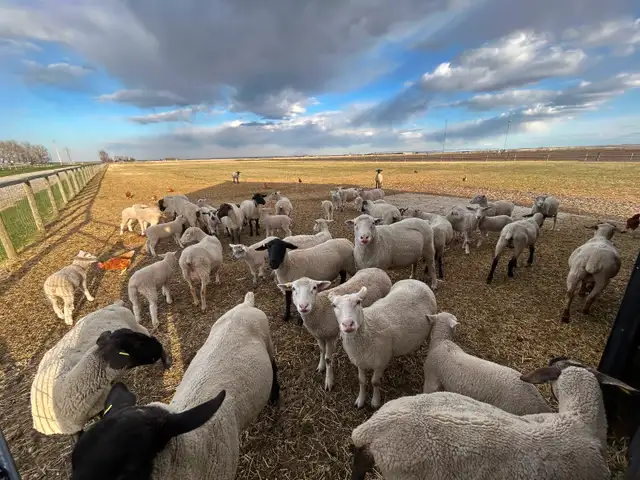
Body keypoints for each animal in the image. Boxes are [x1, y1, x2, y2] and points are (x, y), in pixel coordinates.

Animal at [30, 300, 170, 436]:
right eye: (136, 345)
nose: (156, 348)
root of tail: (113, 304)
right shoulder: (74, 430)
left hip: (136, 325)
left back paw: (166, 363)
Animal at [70, 292, 280, 480]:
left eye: (127, 471)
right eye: (73, 463)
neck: (195, 444)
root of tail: (246, 304)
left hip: (268, 340)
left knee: (274, 366)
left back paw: (275, 398)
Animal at [329, 280, 437, 408]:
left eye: (358, 302)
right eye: (334, 305)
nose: (348, 324)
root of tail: (417, 281)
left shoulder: (380, 362)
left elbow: (375, 382)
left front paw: (375, 402)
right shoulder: (359, 361)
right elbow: (361, 380)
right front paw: (360, 400)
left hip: (432, 326)